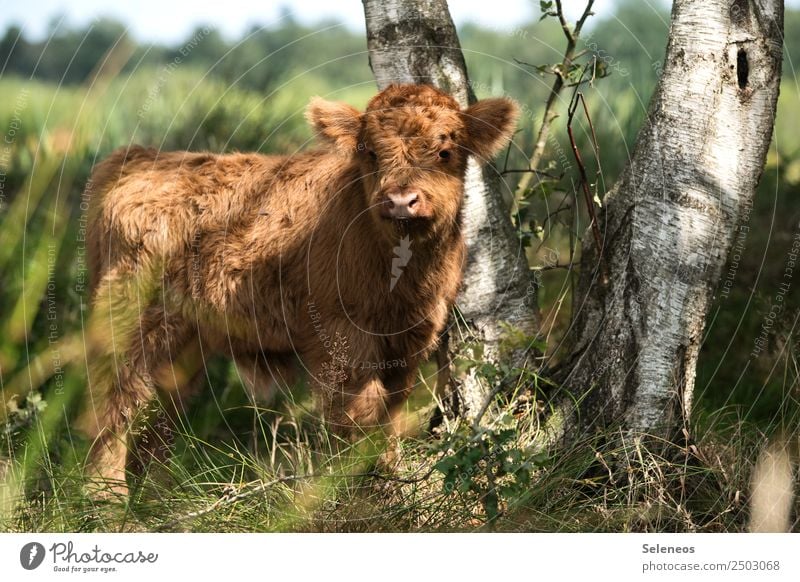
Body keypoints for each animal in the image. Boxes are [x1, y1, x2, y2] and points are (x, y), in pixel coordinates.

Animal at [79, 84, 520, 498]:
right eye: (370, 153)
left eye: (445, 151)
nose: (400, 201)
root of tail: (139, 158)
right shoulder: (343, 340)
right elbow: (358, 414)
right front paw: (358, 492)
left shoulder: (408, 341)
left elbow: (390, 414)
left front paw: (388, 481)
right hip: (132, 321)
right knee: (117, 401)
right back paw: (106, 499)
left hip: (185, 340)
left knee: (160, 411)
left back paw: (156, 496)